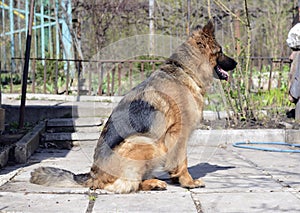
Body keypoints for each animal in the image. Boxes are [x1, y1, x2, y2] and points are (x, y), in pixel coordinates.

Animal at [30, 21, 237, 193]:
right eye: (220, 51)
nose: (236, 62)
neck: (185, 71)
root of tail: (93, 176)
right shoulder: (179, 133)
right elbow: (182, 160)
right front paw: (188, 182)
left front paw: (177, 179)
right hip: (145, 142)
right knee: (129, 184)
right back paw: (153, 183)